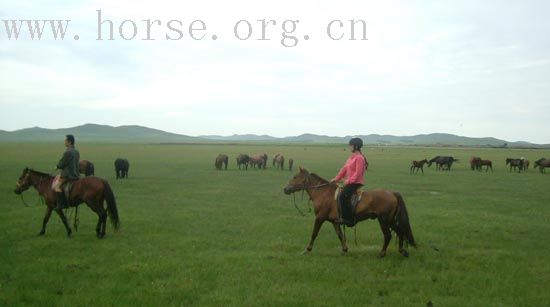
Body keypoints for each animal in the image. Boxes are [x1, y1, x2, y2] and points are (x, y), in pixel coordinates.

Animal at [284, 168, 418, 258]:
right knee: (400, 232)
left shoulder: (320, 218)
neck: (323, 193)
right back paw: (402, 251)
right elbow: (340, 235)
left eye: (295, 177)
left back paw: (382, 253)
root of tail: (392, 193)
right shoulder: (334, 221)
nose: (285, 189)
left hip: (384, 220)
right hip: (389, 220)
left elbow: (314, 234)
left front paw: (307, 250)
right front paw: (344, 249)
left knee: (389, 235)